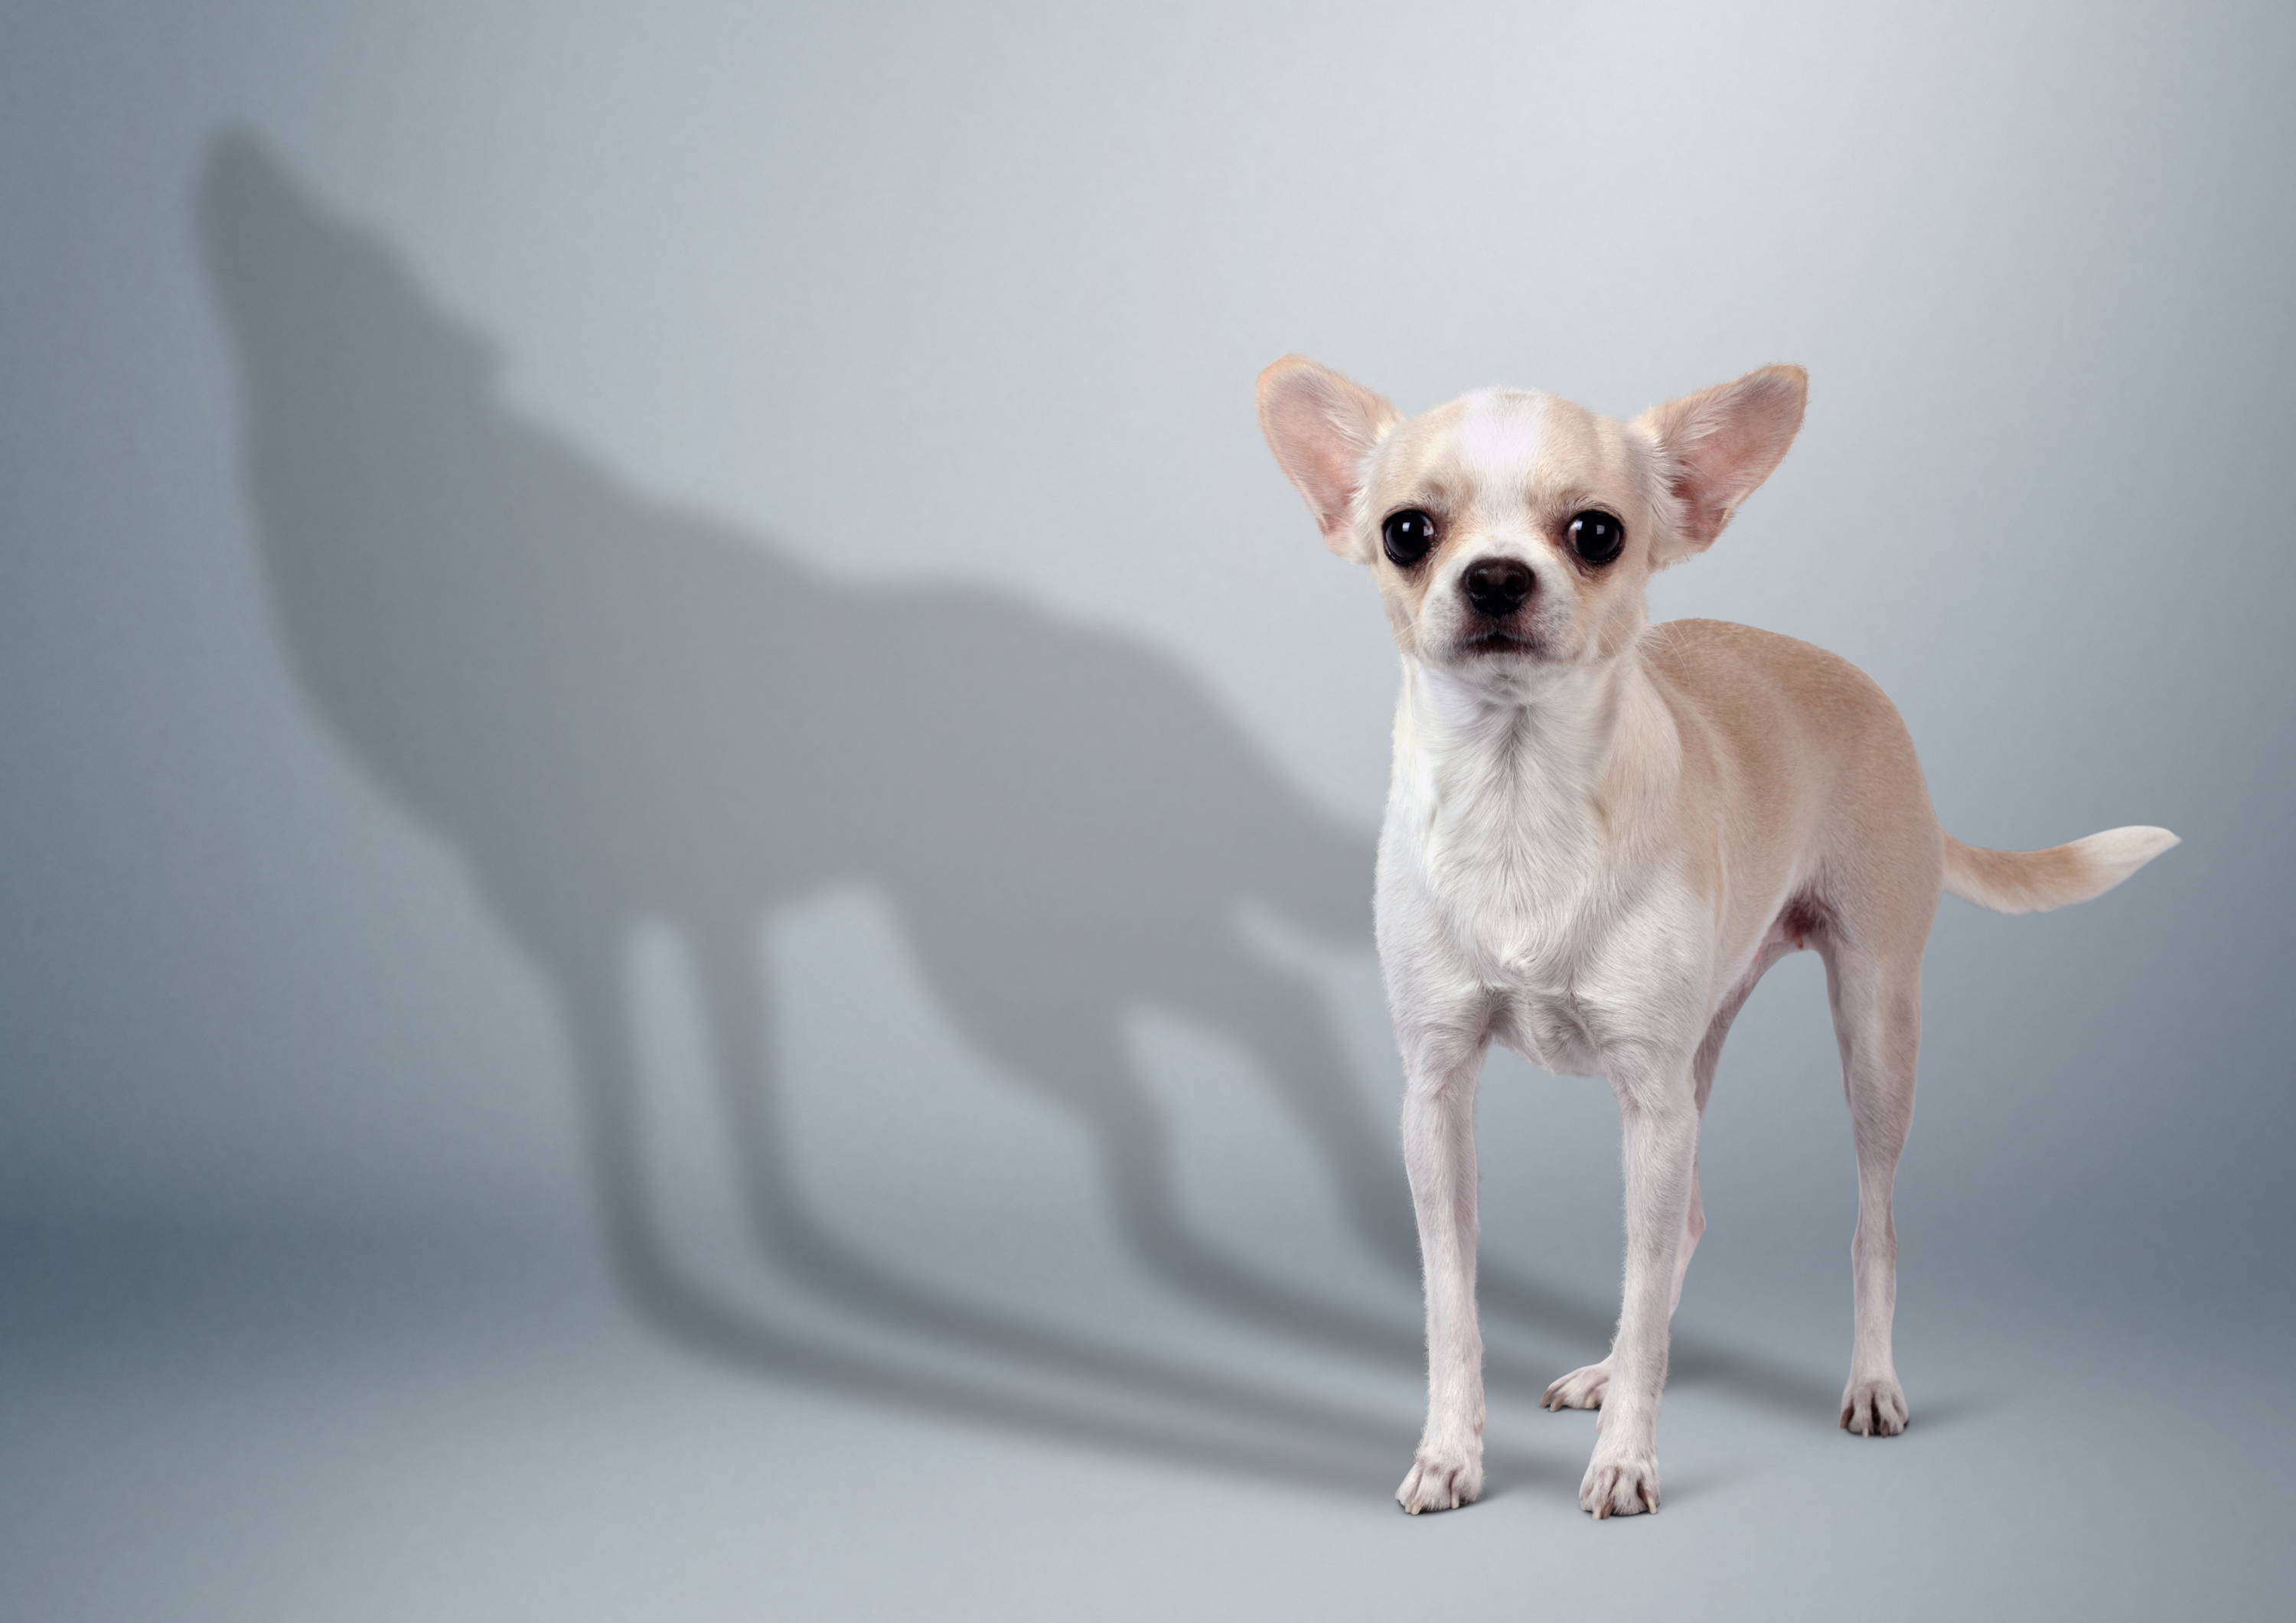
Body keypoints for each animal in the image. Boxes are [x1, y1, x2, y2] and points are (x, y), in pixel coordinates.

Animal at [1258, 358, 2167, 1524]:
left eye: (1597, 532)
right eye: (1407, 531)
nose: (1496, 578)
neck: (1518, 797)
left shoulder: (1650, 1104)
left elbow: (1646, 1295)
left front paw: (1627, 1462)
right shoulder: (1441, 1093)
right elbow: (1452, 1299)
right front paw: (1452, 1452)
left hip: (1873, 1032)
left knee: (1871, 1226)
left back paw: (1871, 1381)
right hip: (1700, 1049)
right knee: (1682, 1228)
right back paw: (1608, 1374)